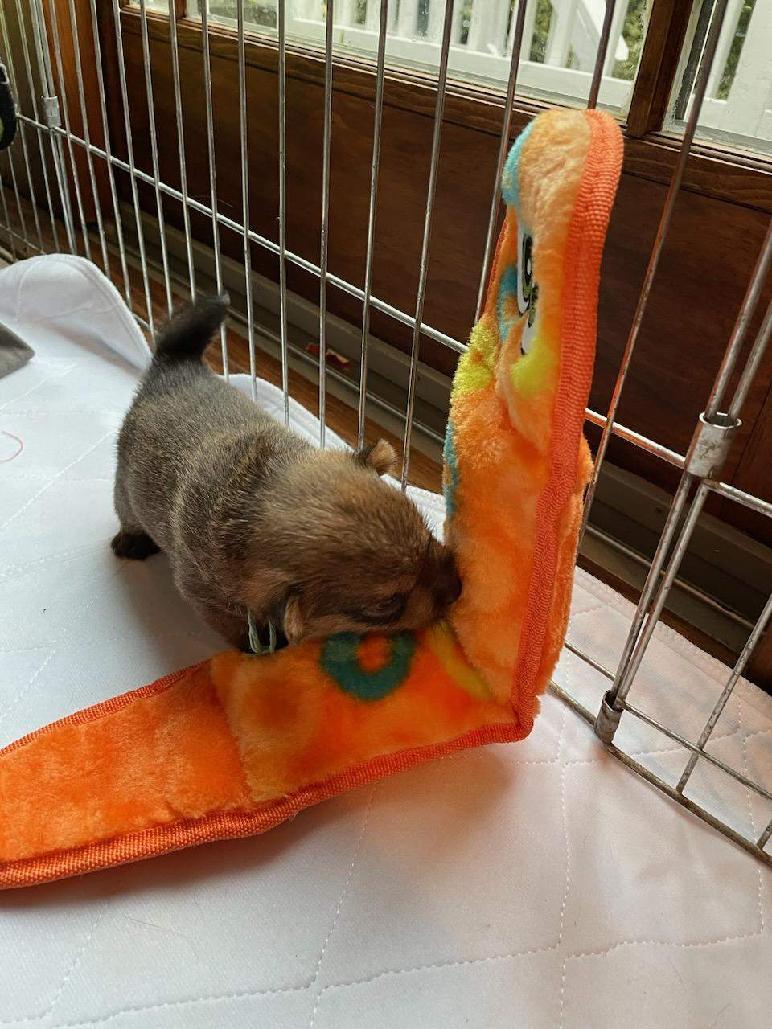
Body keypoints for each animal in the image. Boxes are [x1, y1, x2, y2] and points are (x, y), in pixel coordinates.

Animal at [112, 297, 461, 651]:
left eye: (428, 536)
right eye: (388, 605)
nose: (458, 587)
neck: (254, 490)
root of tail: (174, 364)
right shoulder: (207, 598)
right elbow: (235, 626)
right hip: (125, 489)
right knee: (126, 511)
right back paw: (131, 540)